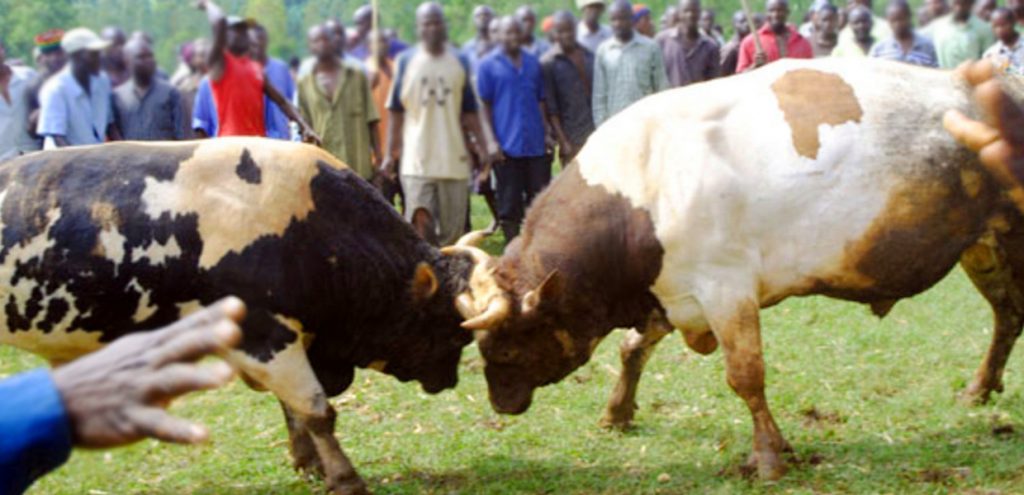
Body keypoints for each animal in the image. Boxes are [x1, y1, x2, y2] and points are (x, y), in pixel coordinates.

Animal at [0, 139, 475, 495]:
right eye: (453, 331)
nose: (450, 379)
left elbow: (295, 410)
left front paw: (309, 463)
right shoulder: (264, 337)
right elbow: (317, 411)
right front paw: (345, 479)